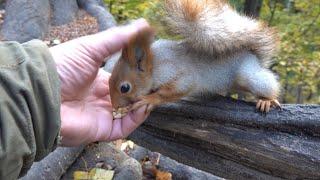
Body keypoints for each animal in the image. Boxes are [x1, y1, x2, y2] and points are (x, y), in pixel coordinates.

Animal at [107, 0, 280, 114]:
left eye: (125, 88)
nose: (114, 106)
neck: (155, 64)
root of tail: (253, 56)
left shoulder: (179, 73)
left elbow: (177, 88)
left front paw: (150, 99)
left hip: (249, 75)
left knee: (267, 85)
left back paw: (267, 100)